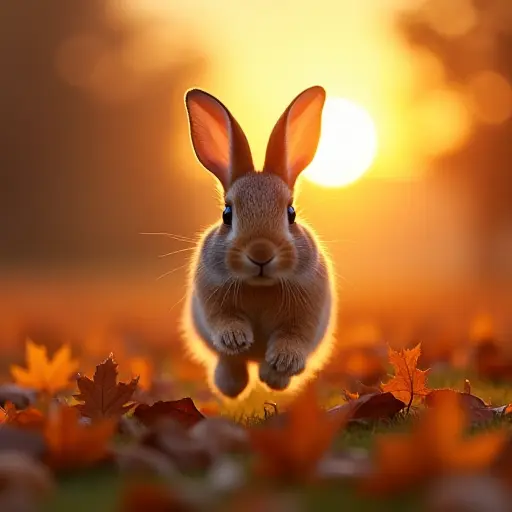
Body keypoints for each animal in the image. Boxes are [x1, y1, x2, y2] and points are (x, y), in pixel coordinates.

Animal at [179, 85, 336, 400]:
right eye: (227, 214)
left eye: (291, 213)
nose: (261, 253)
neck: (261, 286)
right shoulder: (212, 300)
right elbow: (225, 323)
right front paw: (237, 339)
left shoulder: (307, 314)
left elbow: (293, 337)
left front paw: (282, 361)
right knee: (229, 363)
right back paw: (232, 385)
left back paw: (270, 376)